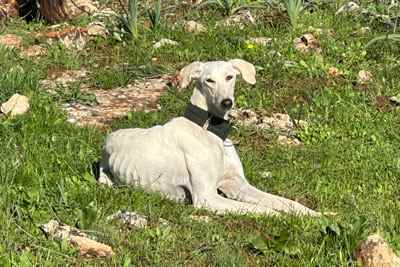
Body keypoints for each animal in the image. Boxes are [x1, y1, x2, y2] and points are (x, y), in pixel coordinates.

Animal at [95, 59, 318, 217]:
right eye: (209, 80)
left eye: (230, 77)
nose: (227, 102)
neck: (210, 130)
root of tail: (108, 139)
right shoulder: (207, 198)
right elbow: (264, 210)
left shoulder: (238, 185)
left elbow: (285, 202)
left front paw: (315, 216)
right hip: (106, 176)